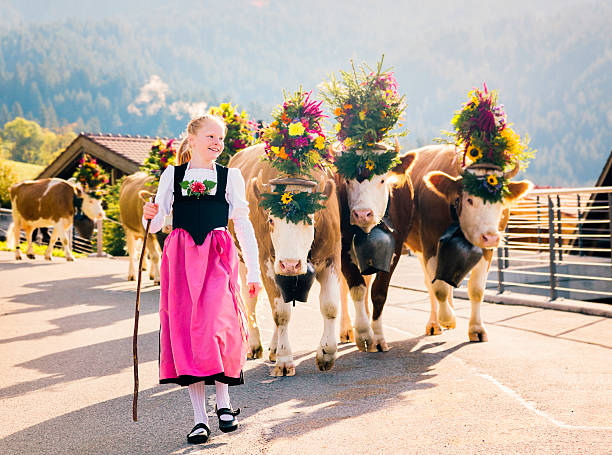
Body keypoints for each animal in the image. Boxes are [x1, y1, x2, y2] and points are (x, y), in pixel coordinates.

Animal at [334, 142, 416, 352]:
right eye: (348, 181)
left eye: (382, 180)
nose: (363, 213)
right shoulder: (343, 250)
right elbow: (356, 288)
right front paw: (363, 333)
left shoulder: (395, 249)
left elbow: (378, 293)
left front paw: (377, 337)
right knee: (344, 289)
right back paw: (347, 329)